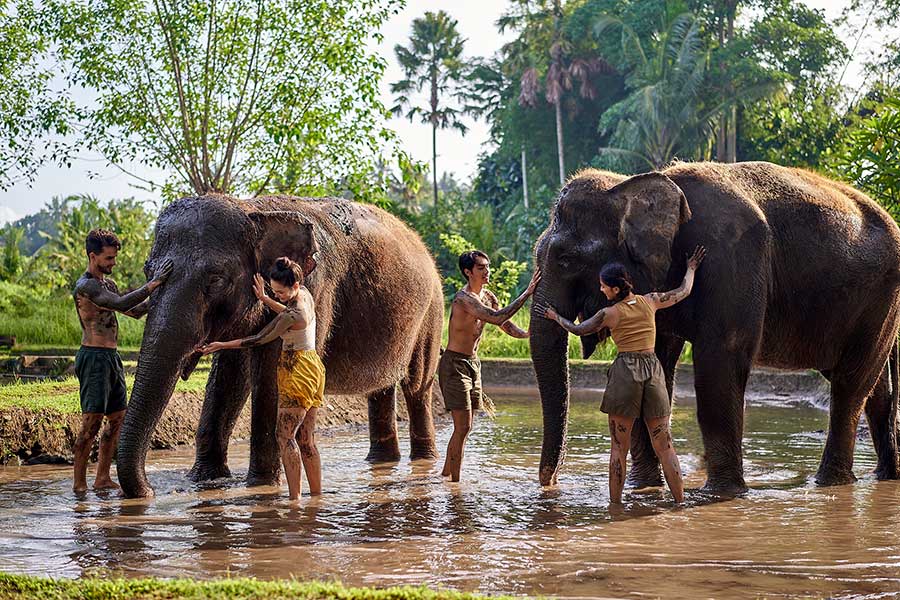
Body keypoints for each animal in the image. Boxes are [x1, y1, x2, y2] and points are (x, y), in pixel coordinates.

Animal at [116, 194, 444, 498]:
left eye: (215, 279)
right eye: (147, 272)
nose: (150, 491)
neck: (254, 210)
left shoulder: (316, 288)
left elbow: (272, 369)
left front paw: (259, 485)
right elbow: (229, 376)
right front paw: (205, 480)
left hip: (432, 310)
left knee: (417, 386)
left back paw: (423, 461)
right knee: (382, 389)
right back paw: (382, 462)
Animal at [529, 161, 900, 495]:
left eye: (565, 259)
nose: (551, 483)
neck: (634, 183)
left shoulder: (730, 257)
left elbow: (721, 358)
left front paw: (721, 494)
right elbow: (659, 362)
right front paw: (645, 488)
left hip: (880, 298)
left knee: (850, 385)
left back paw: (830, 483)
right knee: (874, 388)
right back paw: (885, 476)